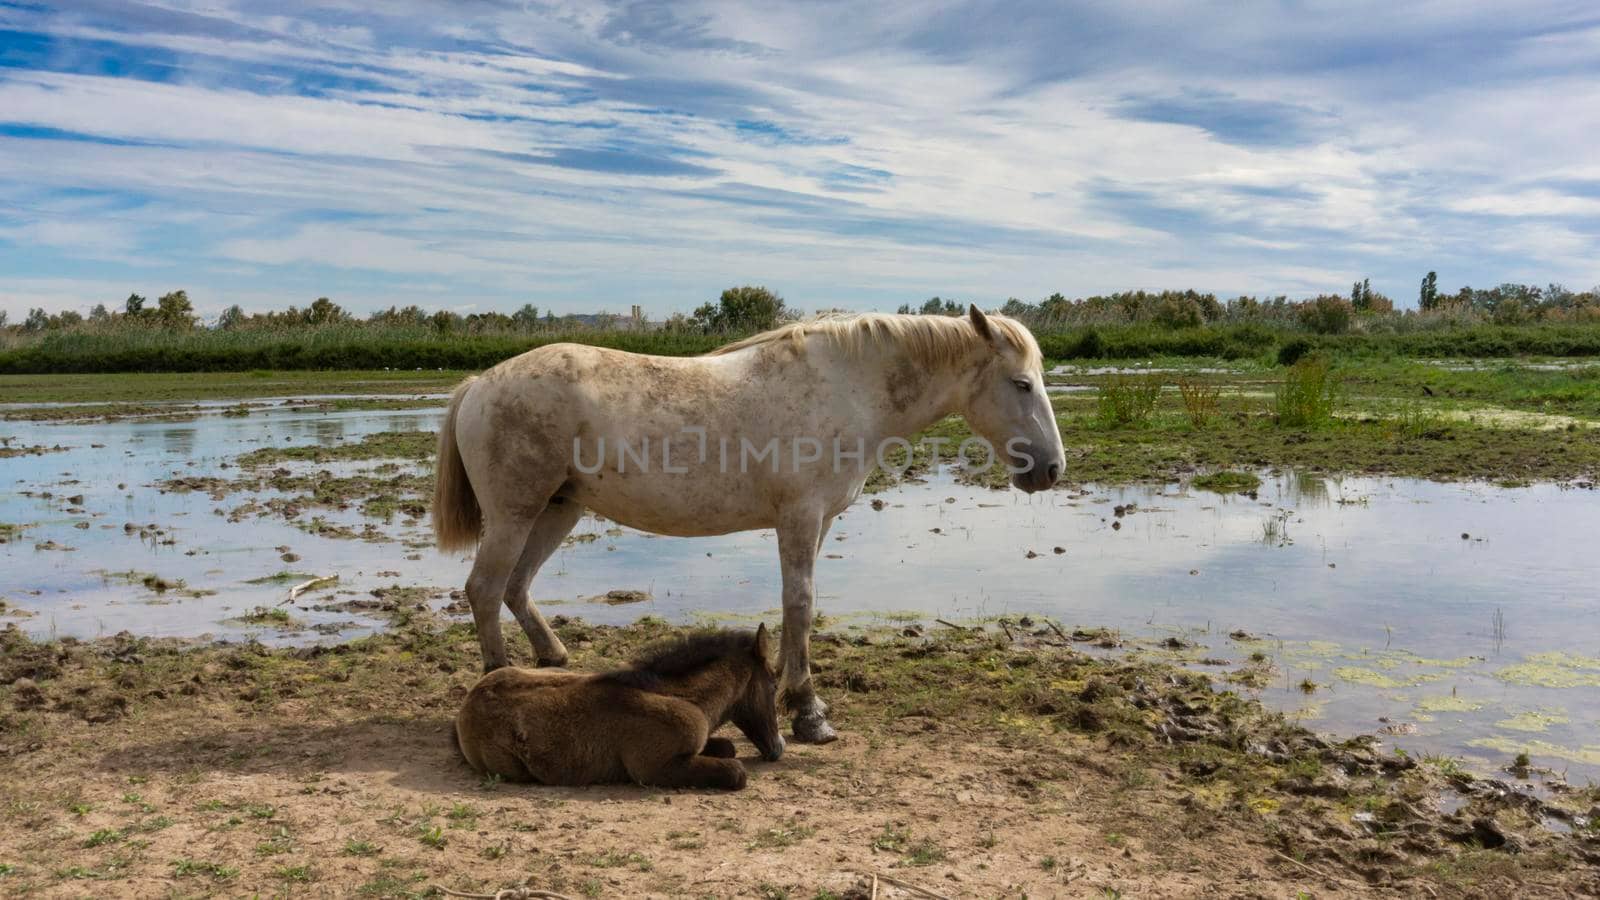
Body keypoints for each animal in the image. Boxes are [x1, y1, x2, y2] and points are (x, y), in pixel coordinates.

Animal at [432, 304, 1068, 739]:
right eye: (1021, 384)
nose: (1051, 469)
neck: (846, 389)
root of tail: (480, 383)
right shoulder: (800, 517)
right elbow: (800, 603)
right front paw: (809, 712)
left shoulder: (819, 523)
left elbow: (800, 606)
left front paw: (790, 688)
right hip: (515, 514)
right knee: (484, 589)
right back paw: (497, 680)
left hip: (558, 510)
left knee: (515, 587)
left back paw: (552, 661)